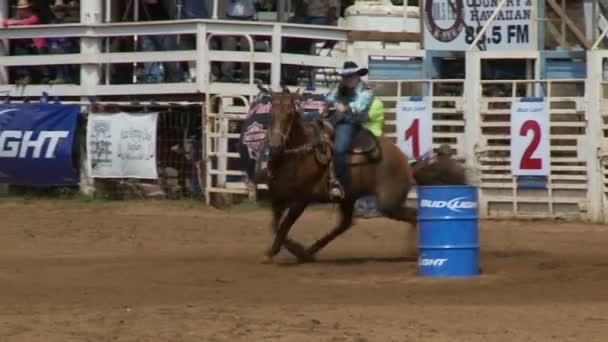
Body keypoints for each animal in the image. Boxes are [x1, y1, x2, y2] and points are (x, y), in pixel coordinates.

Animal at [264, 89, 420, 264]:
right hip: (349, 198)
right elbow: (275, 226)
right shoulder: (277, 197)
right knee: (344, 224)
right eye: (270, 113)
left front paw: (280, 252)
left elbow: (284, 226)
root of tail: (405, 160)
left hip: (389, 203)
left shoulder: (300, 201)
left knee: (414, 215)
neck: (297, 155)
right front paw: (295, 251)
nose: (276, 146)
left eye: (289, 114)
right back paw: (310, 251)